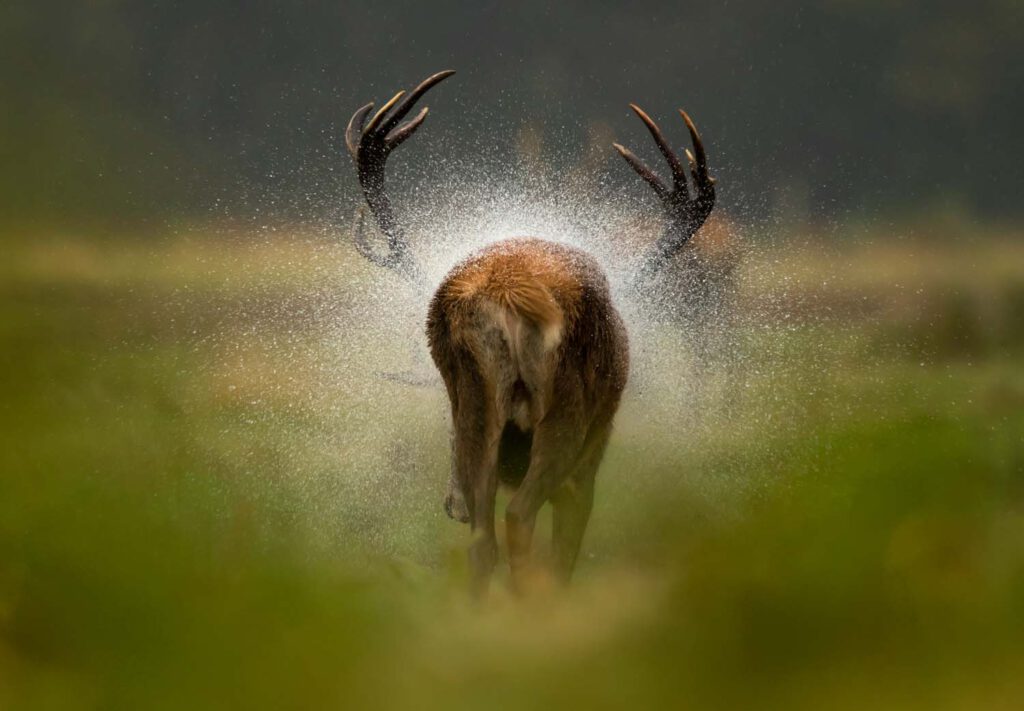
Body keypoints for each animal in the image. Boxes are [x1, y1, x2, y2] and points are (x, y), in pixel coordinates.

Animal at [344, 71, 712, 594]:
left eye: (439, 413)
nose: (449, 504)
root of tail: (508, 290)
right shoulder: (590, 458)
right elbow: (563, 555)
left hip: (478, 402)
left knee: (482, 542)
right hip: (565, 413)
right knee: (519, 520)